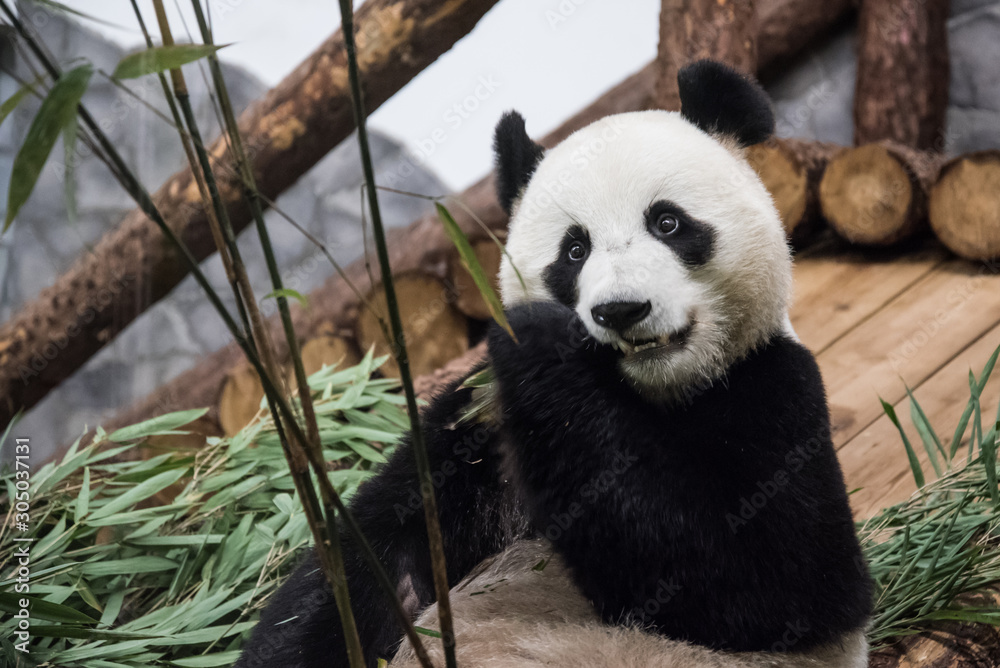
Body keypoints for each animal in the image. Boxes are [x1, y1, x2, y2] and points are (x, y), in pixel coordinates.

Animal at [234, 60, 872, 668]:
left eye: (667, 222)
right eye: (575, 250)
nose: (622, 310)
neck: (649, 393)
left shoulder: (771, 390)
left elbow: (767, 582)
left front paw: (544, 345)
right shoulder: (478, 432)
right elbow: (378, 561)